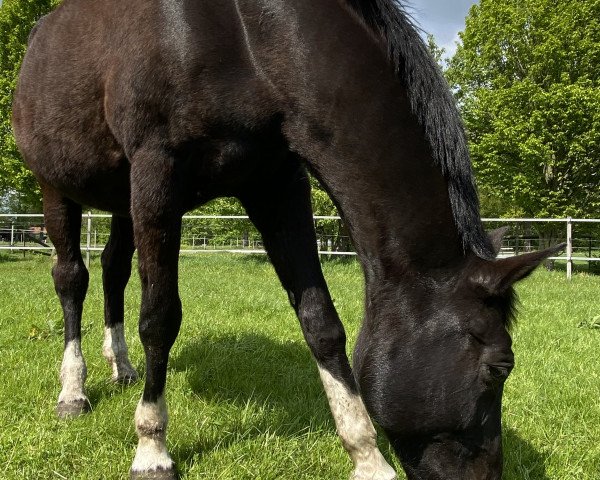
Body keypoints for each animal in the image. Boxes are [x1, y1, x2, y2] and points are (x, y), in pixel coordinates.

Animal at [10, 0, 564, 480]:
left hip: (123, 200)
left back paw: (120, 365)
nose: (489, 476)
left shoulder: (277, 184)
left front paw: (367, 458)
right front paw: (152, 448)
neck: (247, 36)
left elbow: (321, 322)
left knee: (113, 269)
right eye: (499, 369)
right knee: (72, 279)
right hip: (57, 186)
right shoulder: (157, 173)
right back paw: (73, 391)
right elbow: (160, 318)